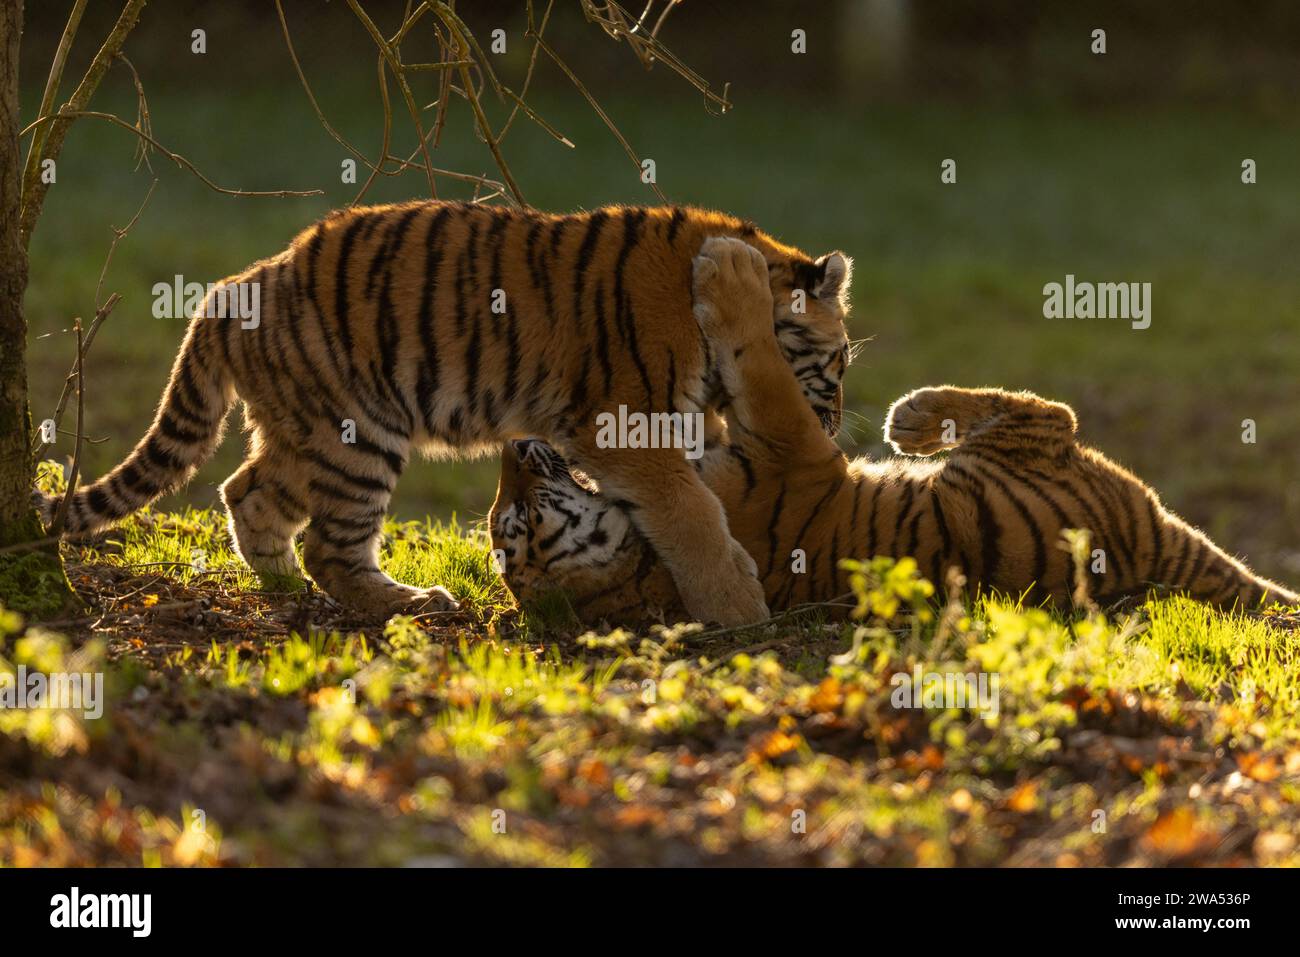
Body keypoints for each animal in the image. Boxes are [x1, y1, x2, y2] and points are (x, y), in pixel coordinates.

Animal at [35, 202, 854, 623]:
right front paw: (739, 604)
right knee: (328, 543)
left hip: (308, 431)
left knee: (248, 494)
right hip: (358, 436)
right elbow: (691, 512)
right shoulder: (623, 425)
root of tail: (240, 282)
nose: (836, 427)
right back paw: (408, 600)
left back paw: (281, 587)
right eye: (840, 362)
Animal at [489, 237, 1299, 624]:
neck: (638, 568)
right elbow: (762, 365)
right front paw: (732, 274)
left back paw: (908, 417)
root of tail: (1160, 541)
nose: (512, 447)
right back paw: (910, 417)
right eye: (517, 521)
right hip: (1025, 457)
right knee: (1046, 412)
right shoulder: (794, 446)